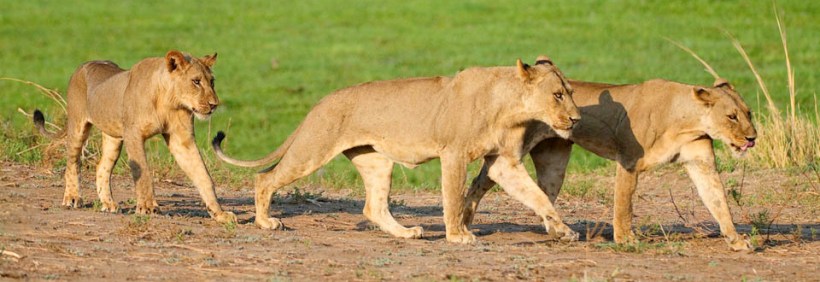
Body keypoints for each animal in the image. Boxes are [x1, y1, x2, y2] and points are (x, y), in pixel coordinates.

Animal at [33, 49, 235, 224]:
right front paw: (147, 207)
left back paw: (108, 204)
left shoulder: (182, 139)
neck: (169, 100)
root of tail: (84, 64)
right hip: (77, 126)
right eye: (196, 81)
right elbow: (142, 172)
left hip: (113, 137)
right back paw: (73, 198)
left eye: (212, 81)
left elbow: (203, 175)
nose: (214, 104)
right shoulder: (133, 134)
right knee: (73, 162)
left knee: (101, 167)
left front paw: (220, 214)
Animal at [213, 56, 584, 242]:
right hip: (313, 149)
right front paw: (457, 235)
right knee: (265, 179)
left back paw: (406, 233)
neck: (509, 107)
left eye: (570, 92)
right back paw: (266, 222)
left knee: (374, 207)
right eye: (558, 95)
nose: (576, 119)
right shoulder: (453, 153)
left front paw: (564, 230)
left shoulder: (502, 161)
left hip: (377, 162)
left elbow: (537, 196)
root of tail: (320, 103)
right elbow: (453, 197)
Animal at [464, 77, 760, 251]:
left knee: (543, 193)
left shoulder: (702, 164)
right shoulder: (628, 160)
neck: (687, 122)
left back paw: (557, 231)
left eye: (749, 113)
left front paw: (736, 239)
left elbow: (719, 202)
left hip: (554, 163)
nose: (752, 138)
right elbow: (624, 203)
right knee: (479, 182)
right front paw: (625, 239)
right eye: (731, 116)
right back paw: (465, 223)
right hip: (512, 152)